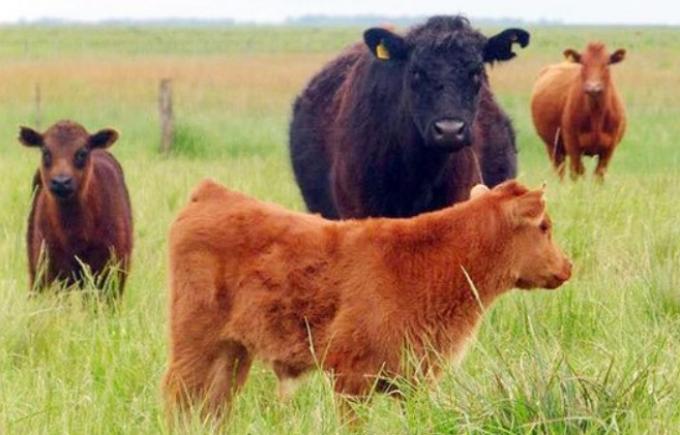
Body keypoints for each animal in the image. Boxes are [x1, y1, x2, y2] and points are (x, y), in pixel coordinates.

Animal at [163, 178, 572, 420]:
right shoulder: (351, 378)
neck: (427, 260)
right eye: (544, 226)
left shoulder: (414, 379)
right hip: (195, 346)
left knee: (211, 406)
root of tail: (211, 192)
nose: (567, 266)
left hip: (231, 353)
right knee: (177, 396)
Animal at [530, 42, 627, 181]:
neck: (596, 115)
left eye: (607, 64)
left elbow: (598, 175)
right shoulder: (573, 146)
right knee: (560, 171)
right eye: (583, 63)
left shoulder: (608, 149)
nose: (593, 87)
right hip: (553, 147)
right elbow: (577, 173)